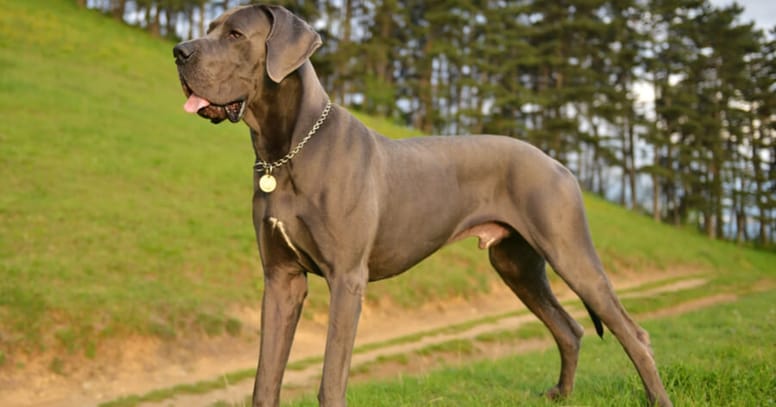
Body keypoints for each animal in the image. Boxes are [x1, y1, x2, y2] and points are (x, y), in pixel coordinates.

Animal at [173, 3, 668, 407]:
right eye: (209, 27)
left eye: (235, 34)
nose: (179, 51)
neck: (287, 149)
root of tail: (557, 162)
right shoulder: (281, 280)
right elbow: (266, 379)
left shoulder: (347, 279)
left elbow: (331, 379)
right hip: (516, 265)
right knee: (569, 327)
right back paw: (561, 396)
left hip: (570, 252)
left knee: (634, 332)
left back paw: (656, 397)